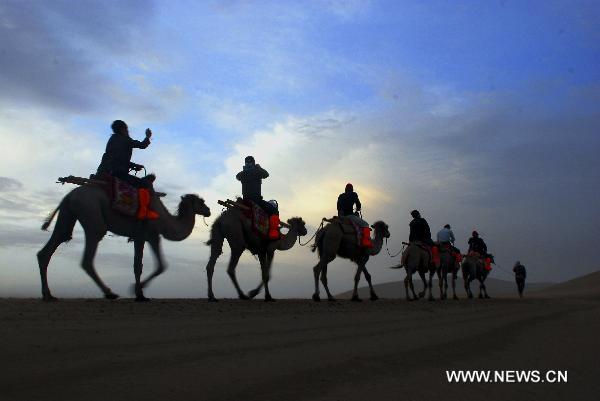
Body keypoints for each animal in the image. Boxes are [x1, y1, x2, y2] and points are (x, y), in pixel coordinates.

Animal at [37, 184, 211, 300]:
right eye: (201, 201)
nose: (209, 211)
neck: (165, 221)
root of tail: (69, 195)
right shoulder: (151, 235)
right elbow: (160, 266)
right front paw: (137, 290)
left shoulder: (140, 237)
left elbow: (138, 266)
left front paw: (140, 294)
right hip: (91, 214)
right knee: (88, 257)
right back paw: (109, 292)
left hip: (68, 214)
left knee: (51, 246)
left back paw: (48, 295)